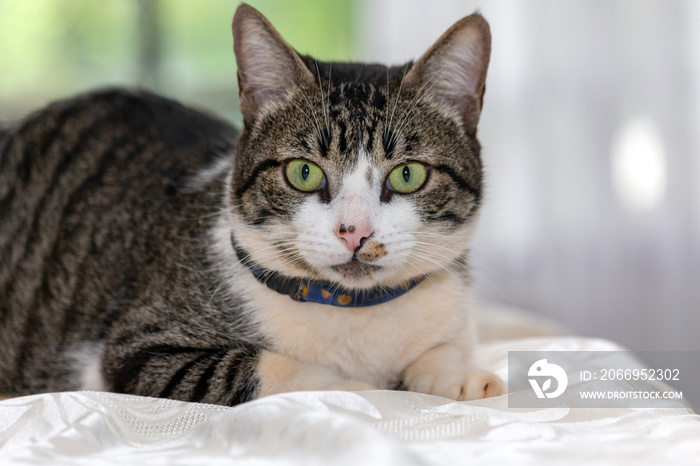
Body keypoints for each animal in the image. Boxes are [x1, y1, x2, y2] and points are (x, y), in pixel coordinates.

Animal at [0, 3, 504, 404]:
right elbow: (260, 366)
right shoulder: (137, 350)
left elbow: (442, 352)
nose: (354, 231)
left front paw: (461, 378)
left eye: (407, 174)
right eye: (303, 173)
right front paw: (363, 389)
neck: (353, 309)